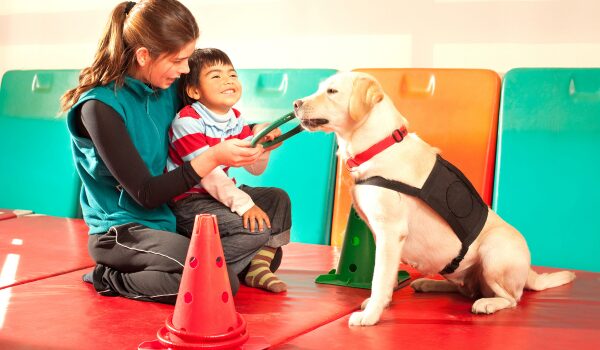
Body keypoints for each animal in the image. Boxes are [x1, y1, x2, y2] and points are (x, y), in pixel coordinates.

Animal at [296, 72, 576, 326]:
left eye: (332, 91)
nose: (296, 103)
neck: (379, 145)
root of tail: (530, 273)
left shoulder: (390, 232)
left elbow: (379, 277)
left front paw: (371, 315)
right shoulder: (379, 235)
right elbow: (385, 276)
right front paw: (383, 303)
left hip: (494, 253)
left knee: (511, 299)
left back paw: (487, 303)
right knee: (466, 289)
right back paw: (428, 283)